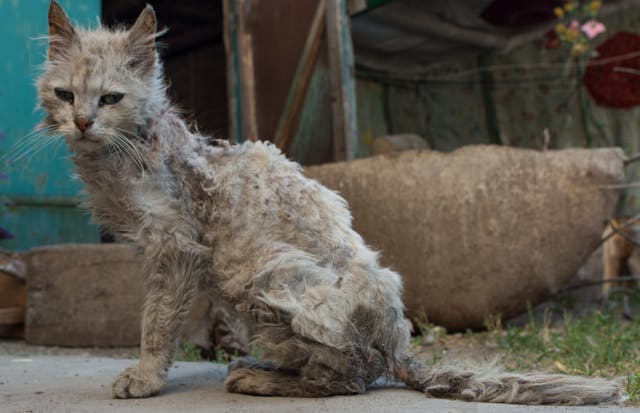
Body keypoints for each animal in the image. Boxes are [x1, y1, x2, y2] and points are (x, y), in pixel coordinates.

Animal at [38, 1, 624, 404]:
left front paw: (144, 377)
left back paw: (259, 378)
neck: (127, 150)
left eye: (111, 98)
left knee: (350, 376)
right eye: (65, 95)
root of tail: (400, 347)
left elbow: (156, 321)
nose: (82, 122)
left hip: (269, 275)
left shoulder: (176, 248)